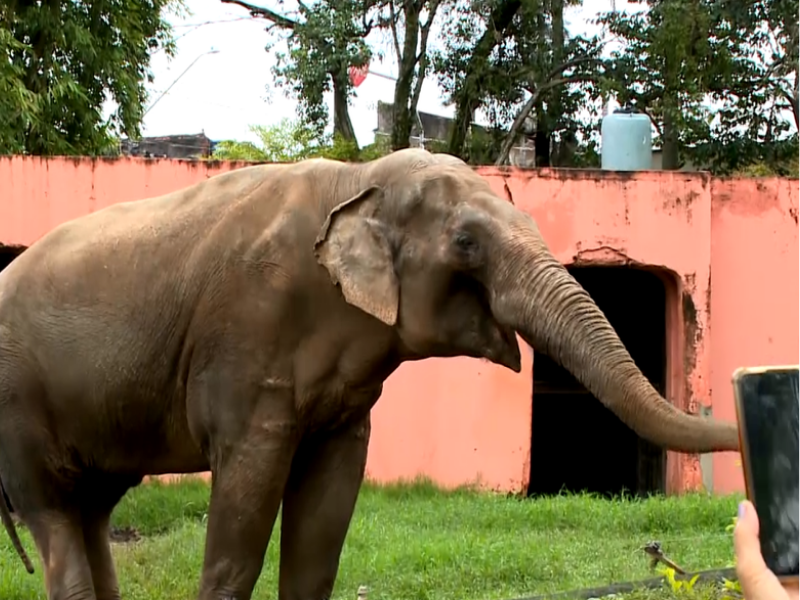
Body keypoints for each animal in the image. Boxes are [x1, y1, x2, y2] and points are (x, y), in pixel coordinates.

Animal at [0, 148, 738, 600]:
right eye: (466, 242)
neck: (358, 179)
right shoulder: (247, 344)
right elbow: (243, 512)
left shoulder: (344, 403)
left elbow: (327, 517)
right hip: (20, 406)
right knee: (55, 512)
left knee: (92, 509)